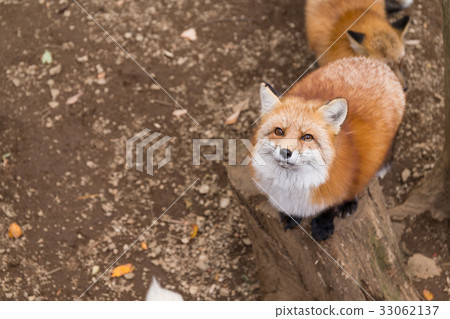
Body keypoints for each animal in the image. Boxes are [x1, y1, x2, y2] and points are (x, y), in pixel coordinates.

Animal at [251, 58, 406, 242]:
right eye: (279, 131)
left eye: (307, 137)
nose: (285, 152)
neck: (293, 187)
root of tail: (377, 63)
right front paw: (292, 216)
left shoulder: (343, 181)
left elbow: (331, 205)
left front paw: (324, 224)